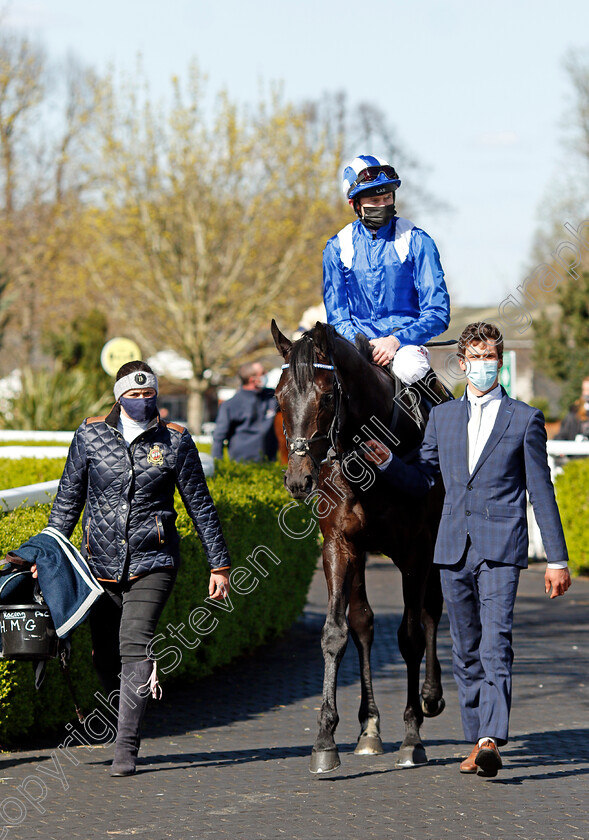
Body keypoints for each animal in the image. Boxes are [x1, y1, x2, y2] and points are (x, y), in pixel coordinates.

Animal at [272, 320, 446, 776]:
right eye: (278, 396)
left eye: (326, 395)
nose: (298, 479)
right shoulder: (340, 545)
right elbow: (338, 631)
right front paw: (325, 740)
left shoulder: (417, 549)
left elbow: (410, 635)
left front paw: (412, 736)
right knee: (365, 622)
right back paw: (369, 727)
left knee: (431, 612)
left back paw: (431, 696)